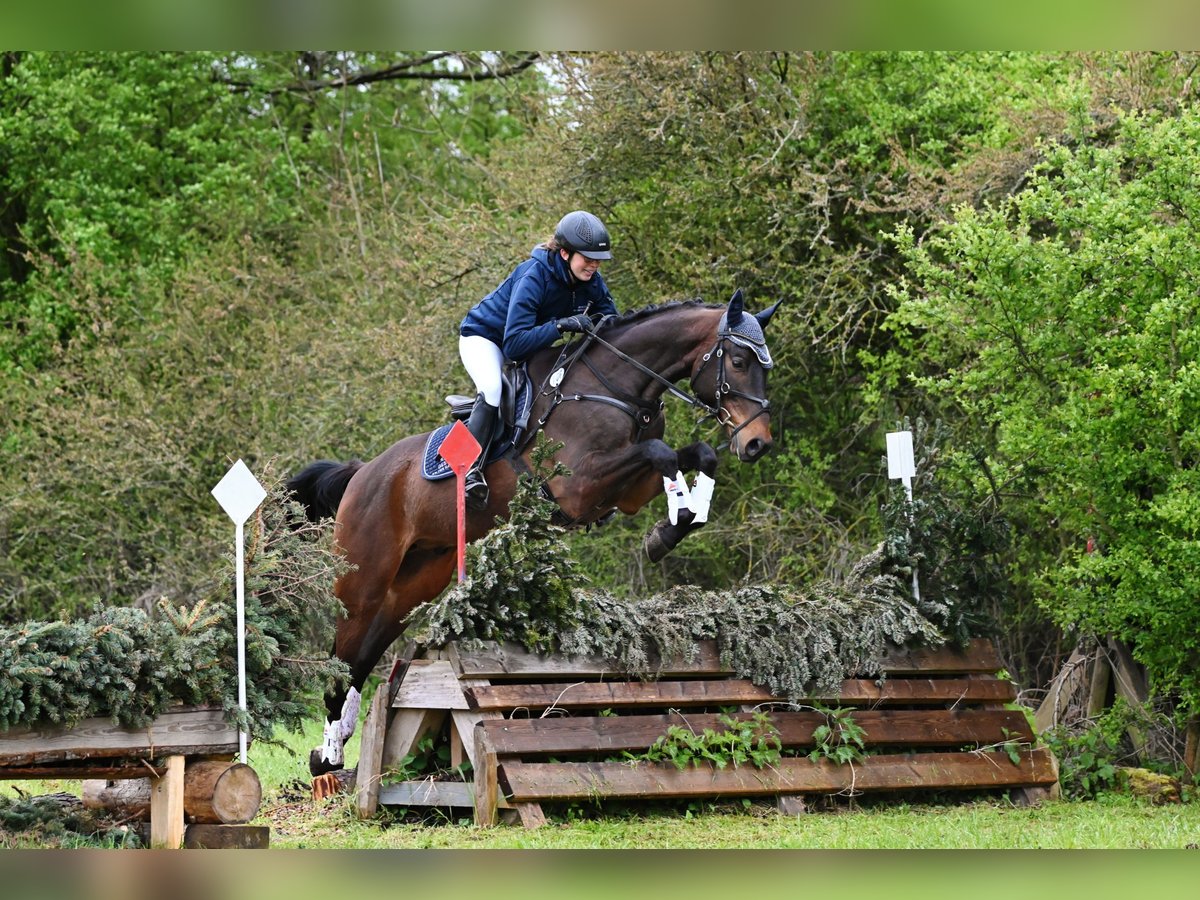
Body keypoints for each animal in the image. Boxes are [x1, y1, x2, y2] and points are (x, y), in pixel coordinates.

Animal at [286, 289, 782, 782]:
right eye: (739, 361)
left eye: (765, 366)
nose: (757, 443)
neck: (618, 388)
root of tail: (361, 472)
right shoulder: (580, 488)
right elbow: (661, 452)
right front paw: (676, 518)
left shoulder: (627, 492)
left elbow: (692, 454)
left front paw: (676, 524)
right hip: (364, 575)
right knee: (343, 651)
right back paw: (328, 753)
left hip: (417, 578)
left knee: (365, 651)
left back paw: (331, 753)